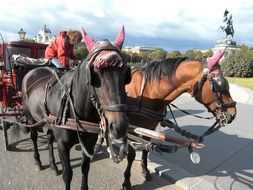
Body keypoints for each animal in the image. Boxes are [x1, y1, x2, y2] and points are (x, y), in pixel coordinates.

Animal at [11, 26, 130, 190]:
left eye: (126, 74)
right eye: (96, 72)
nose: (119, 126)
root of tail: (32, 71)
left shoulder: (89, 143)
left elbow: (85, 168)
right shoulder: (62, 144)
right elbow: (68, 174)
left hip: (49, 121)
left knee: (49, 138)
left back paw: (53, 165)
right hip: (30, 118)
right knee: (34, 137)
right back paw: (38, 161)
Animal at [122, 49, 237, 190]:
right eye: (220, 84)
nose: (233, 113)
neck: (148, 92)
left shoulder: (149, 127)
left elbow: (145, 149)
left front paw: (145, 170)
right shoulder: (131, 128)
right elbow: (131, 155)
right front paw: (127, 180)